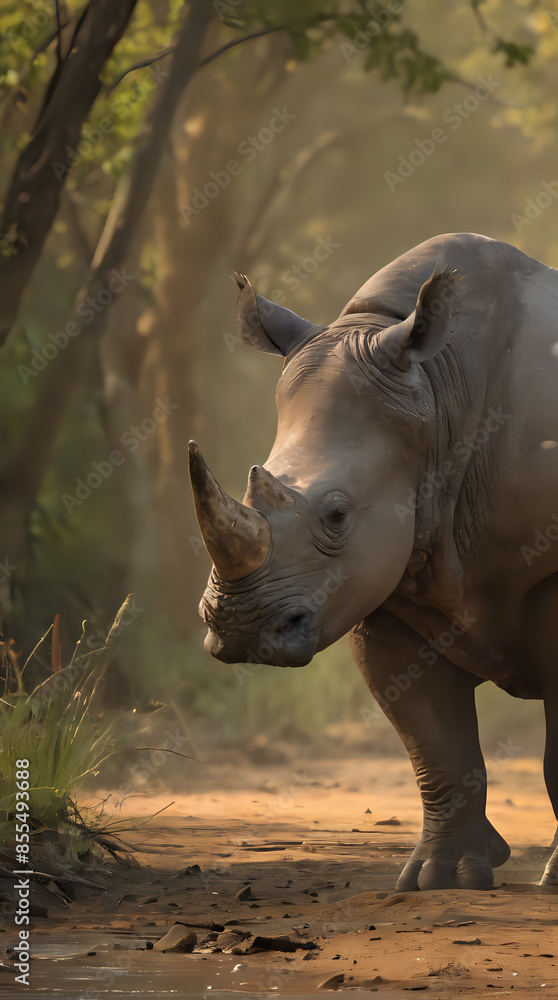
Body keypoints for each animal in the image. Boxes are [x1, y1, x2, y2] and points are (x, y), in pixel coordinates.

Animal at [189, 232, 558, 890]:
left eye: (337, 515)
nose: (238, 631)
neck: (438, 396)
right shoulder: (382, 581)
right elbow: (433, 741)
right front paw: (442, 878)